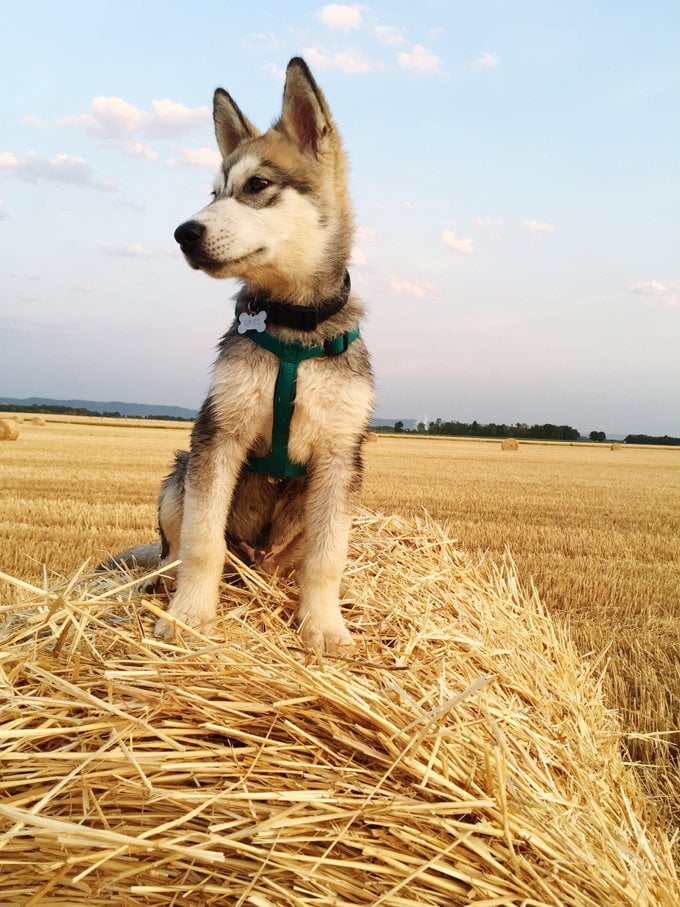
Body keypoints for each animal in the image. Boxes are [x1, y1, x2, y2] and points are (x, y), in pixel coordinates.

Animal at [139, 58, 372, 652]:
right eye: (214, 192)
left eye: (257, 186)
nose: (183, 233)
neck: (294, 329)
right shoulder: (217, 433)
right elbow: (202, 542)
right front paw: (190, 616)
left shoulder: (341, 456)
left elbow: (327, 558)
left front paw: (323, 625)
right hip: (179, 473)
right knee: (175, 549)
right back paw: (163, 583)